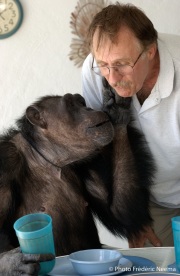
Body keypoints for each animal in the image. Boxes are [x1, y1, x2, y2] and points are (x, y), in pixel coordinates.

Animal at [0, 88, 155, 274]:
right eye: (71, 105)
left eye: (81, 103)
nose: (89, 109)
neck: (48, 159)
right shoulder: (6, 161)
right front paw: (14, 263)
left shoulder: (88, 164)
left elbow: (120, 212)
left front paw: (118, 111)